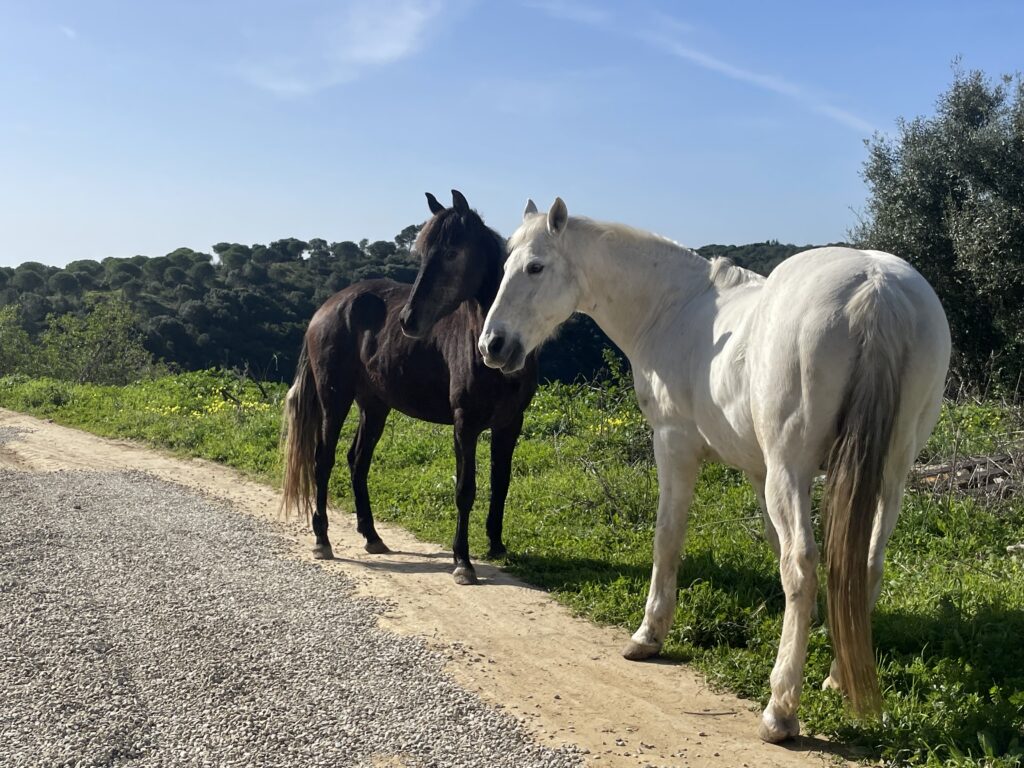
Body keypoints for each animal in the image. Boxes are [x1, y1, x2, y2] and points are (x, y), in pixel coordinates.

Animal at [281, 190, 538, 585]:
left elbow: (501, 483)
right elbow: (465, 489)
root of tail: (326, 308)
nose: (408, 320)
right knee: (322, 460)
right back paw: (322, 539)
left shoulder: (511, 423)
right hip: (334, 399)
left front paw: (496, 545)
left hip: (374, 405)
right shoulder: (465, 424)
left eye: (451, 253)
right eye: (422, 253)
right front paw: (462, 562)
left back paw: (372, 536)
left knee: (357, 460)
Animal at [478, 198, 950, 741]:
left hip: (794, 470)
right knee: (864, 564)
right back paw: (836, 676)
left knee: (804, 564)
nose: (492, 346)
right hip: (890, 476)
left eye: (535, 267)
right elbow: (776, 545)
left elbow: (668, 538)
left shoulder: (675, 444)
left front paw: (649, 634)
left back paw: (780, 709)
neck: (673, 309)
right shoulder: (759, 471)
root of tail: (875, 287)